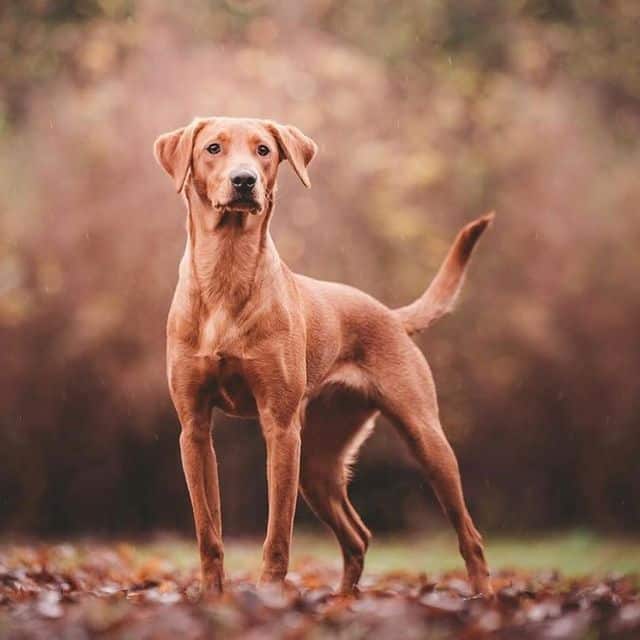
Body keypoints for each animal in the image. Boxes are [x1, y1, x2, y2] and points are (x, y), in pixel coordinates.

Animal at [152, 117, 492, 596]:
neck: (225, 275)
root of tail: (390, 314)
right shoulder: (194, 428)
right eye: (213, 148)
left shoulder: (280, 428)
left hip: (424, 439)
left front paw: (268, 595)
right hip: (318, 462)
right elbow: (208, 532)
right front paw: (212, 597)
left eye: (264, 150)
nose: (244, 180)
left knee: (469, 535)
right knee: (358, 537)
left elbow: (277, 534)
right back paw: (342, 602)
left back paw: (484, 597)